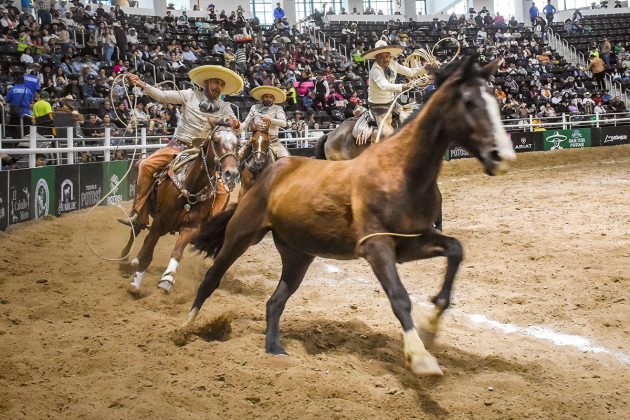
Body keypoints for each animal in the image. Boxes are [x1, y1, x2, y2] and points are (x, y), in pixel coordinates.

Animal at [120, 126, 242, 294]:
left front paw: (167, 279)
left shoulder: (191, 228)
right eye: (216, 141)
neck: (191, 188)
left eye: (238, 144)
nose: (232, 173)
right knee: (136, 229)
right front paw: (135, 285)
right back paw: (124, 260)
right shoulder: (159, 222)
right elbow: (148, 254)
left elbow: (177, 252)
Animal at [185, 57, 516, 376]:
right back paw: (186, 327)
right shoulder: (376, 246)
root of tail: (269, 174)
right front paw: (420, 357)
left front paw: (431, 326)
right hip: (242, 236)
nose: (502, 156)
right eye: (469, 102)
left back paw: (275, 348)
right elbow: (399, 297)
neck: (401, 170)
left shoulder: (410, 243)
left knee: (274, 301)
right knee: (212, 278)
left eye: (494, 100)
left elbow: (455, 250)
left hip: (298, 254)